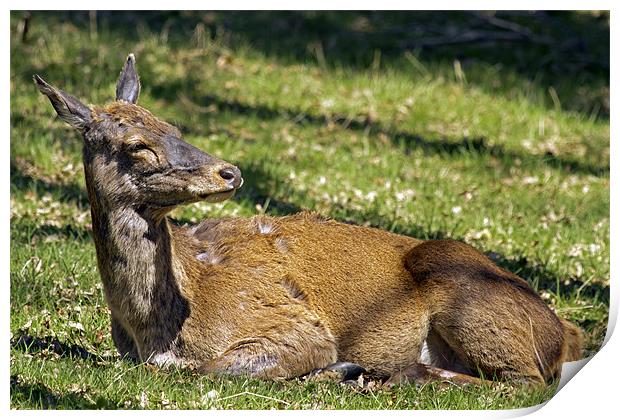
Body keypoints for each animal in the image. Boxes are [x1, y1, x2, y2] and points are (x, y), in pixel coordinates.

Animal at [35, 54, 588, 388]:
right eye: (138, 145)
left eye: (172, 125)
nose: (230, 171)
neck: (157, 331)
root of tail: (564, 334)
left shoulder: (296, 324)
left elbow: (212, 368)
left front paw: (336, 365)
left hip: (467, 291)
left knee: (520, 382)